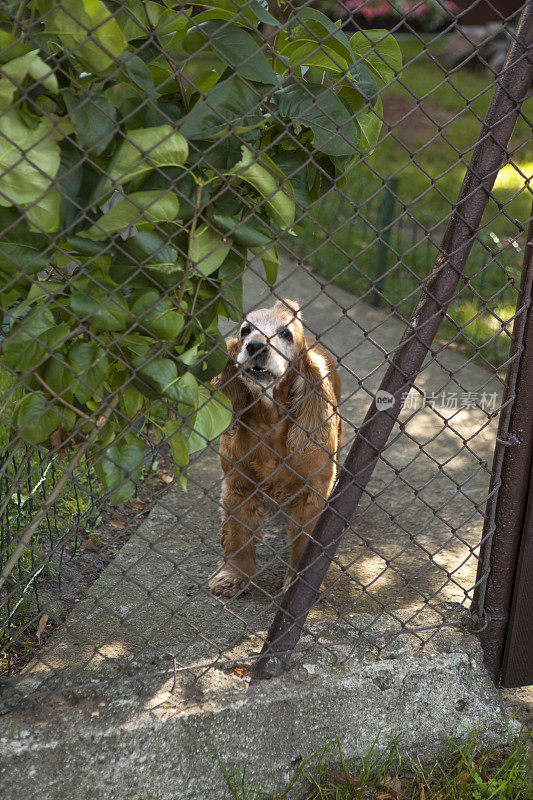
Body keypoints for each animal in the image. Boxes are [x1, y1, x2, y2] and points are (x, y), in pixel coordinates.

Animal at [208, 296, 340, 596]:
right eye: (245, 330)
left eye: (285, 334)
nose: (255, 346)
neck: (270, 421)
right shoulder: (238, 484)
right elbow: (238, 536)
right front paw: (235, 576)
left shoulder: (313, 492)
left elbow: (305, 541)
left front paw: (300, 585)